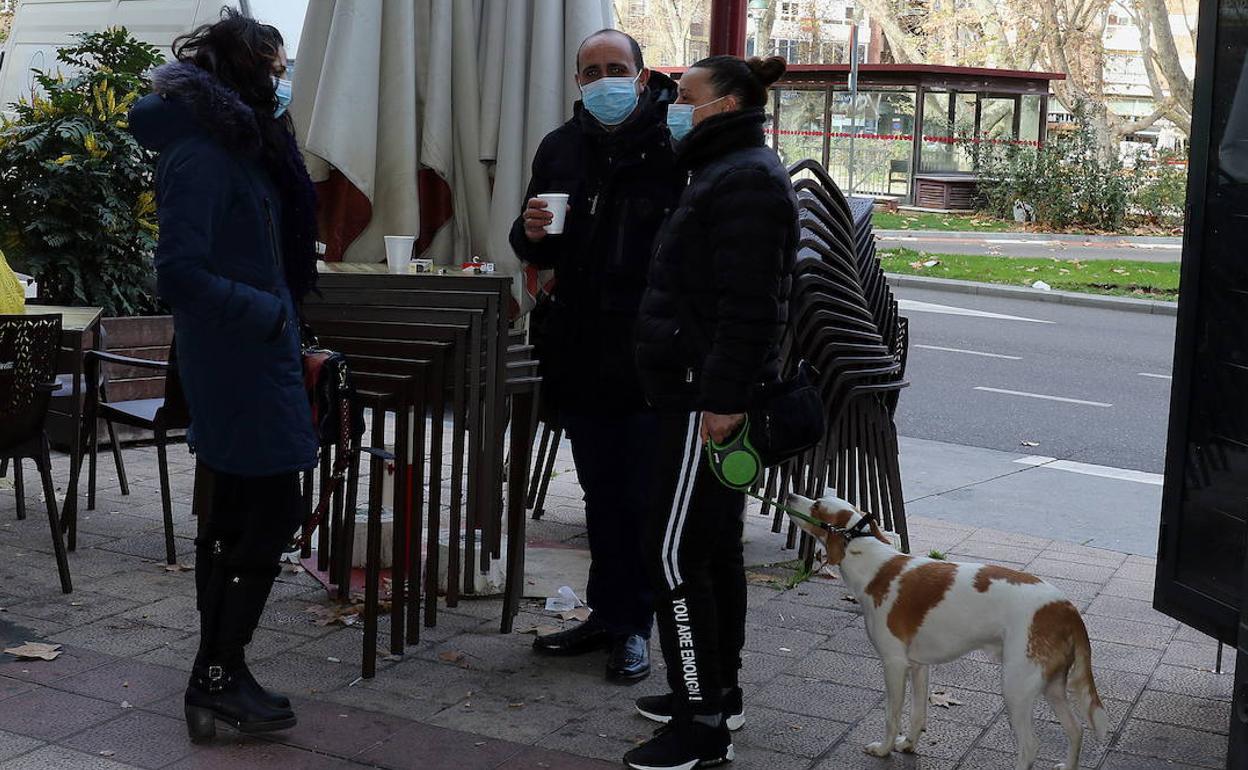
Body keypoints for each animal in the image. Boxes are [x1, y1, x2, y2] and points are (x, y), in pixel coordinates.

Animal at [783, 491, 1108, 768]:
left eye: (816, 503)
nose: (789, 495)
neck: (875, 566)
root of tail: (1066, 608)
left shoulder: (894, 665)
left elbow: (891, 715)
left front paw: (884, 749)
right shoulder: (918, 666)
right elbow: (917, 714)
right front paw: (908, 744)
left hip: (1016, 688)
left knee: (1030, 746)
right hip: (1050, 686)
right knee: (1076, 730)